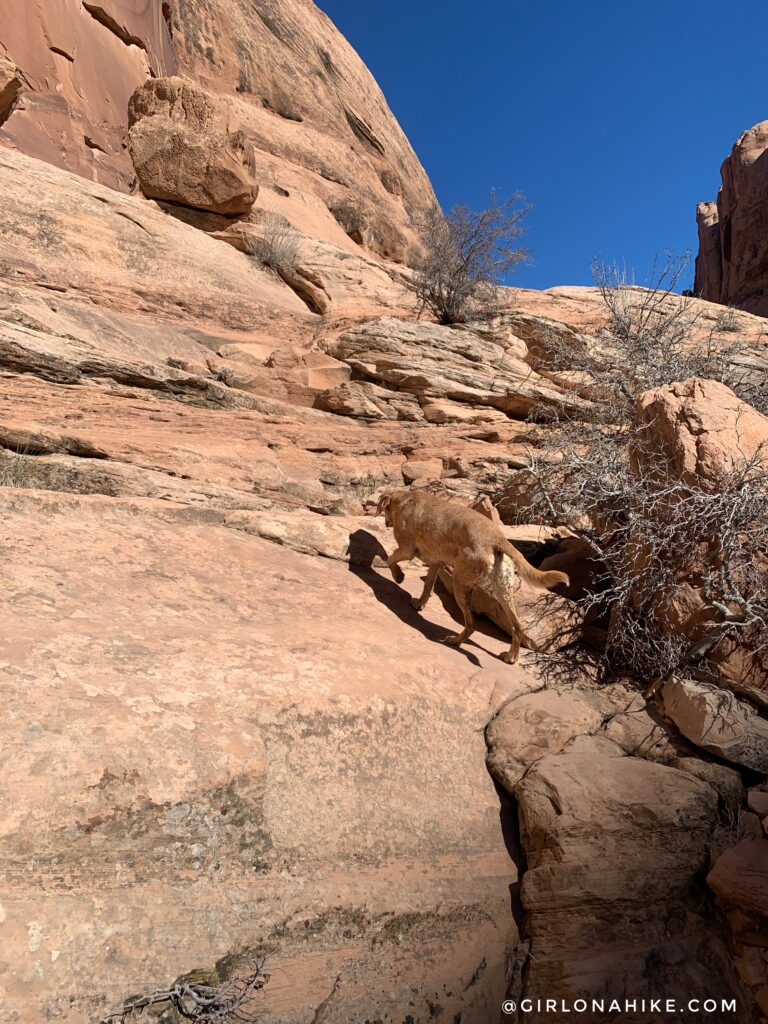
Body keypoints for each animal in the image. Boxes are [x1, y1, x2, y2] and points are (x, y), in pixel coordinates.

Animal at [378, 487, 573, 663]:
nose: (386, 523)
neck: (404, 498)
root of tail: (498, 538)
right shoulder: (435, 562)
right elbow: (428, 585)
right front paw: (419, 604)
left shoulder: (407, 550)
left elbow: (390, 559)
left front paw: (398, 576)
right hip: (503, 591)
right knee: (518, 626)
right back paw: (510, 657)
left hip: (460, 583)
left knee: (471, 624)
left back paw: (454, 641)